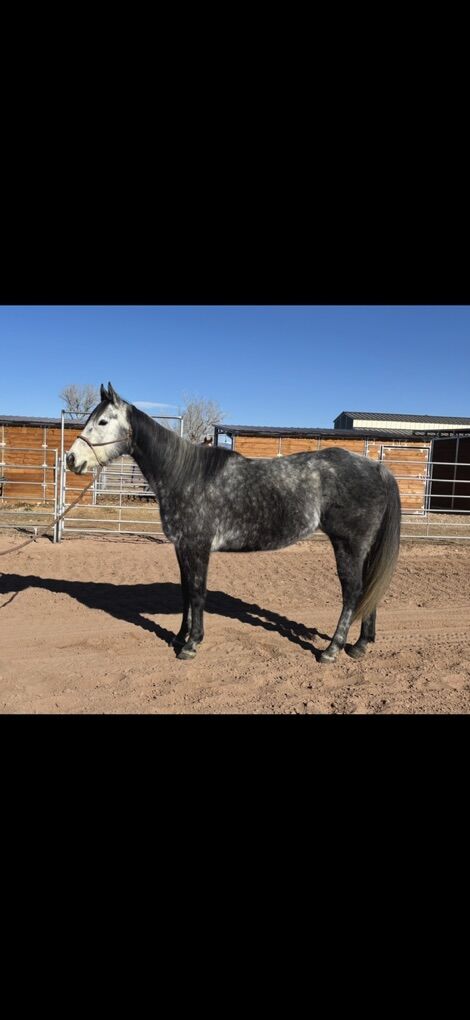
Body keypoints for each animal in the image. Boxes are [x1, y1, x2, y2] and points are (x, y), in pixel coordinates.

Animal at [66, 383, 401, 664]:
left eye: (102, 422)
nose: (71, 459)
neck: (184, 475)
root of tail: (376, 467)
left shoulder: (197, 547)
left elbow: (197, 593)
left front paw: (191, 644)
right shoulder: (182, 548)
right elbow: (185, 592)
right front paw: (179, 637)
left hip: (348, 545)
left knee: (353, 591)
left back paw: (332, 650)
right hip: (364, 548)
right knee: (368, 589)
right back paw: (360, 645)